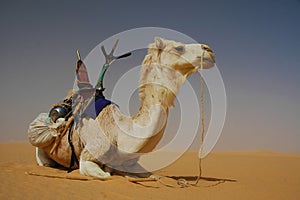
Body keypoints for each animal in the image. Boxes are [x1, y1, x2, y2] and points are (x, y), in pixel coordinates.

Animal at [31, 37, 216, 178]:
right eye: (178, 47)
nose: (209, 51)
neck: (120, 134)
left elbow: (153, 175)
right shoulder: (89, 157)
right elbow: (106, 175)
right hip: (41, 154)